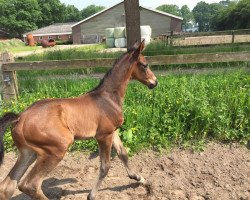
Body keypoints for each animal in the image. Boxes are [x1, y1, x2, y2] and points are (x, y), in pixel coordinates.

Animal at [0, 40, 156, 198]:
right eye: (145, 65)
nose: (154, 82)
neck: (108, 97)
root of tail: (20, 118)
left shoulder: (113, 131)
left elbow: (123, 154)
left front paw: (142, 180)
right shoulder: (103, 136)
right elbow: (105, 166)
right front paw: (91, 195)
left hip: (28, 152)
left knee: (7, 187)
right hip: (56, 148)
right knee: (30, 185)